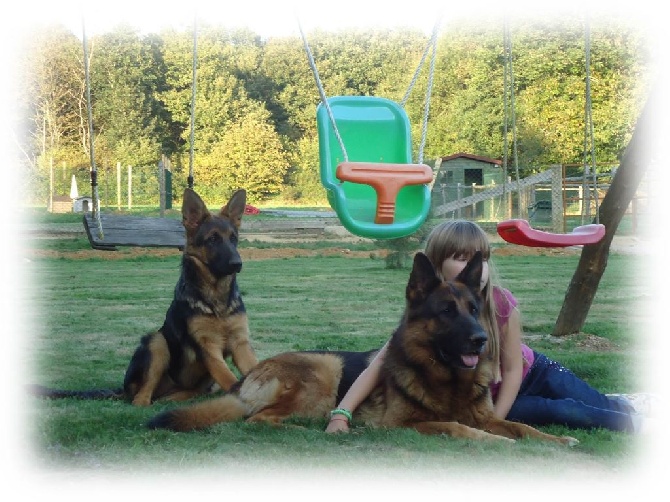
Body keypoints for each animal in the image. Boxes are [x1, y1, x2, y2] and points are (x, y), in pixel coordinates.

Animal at [30, 186, 258, 406]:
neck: (217, 298)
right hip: (156, 342)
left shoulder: (241, 344)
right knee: (141, 398)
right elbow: (230, 379)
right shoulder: (208, 348)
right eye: (212, 239)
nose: (237, 264)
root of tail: (123, 390)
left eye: (234, 239)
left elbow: (252, 370)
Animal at [147, 253, 576, 446]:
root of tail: (249, 376)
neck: (446, 378)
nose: (480, 340)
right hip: (324, 372)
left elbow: (521, 425)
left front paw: (557, 441)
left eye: (474, 310)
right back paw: (307, 429)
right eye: (446, 312)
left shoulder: (485, 414)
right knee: (257, 419)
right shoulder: (405, 426)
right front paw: (497, 443)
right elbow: (457, 426)